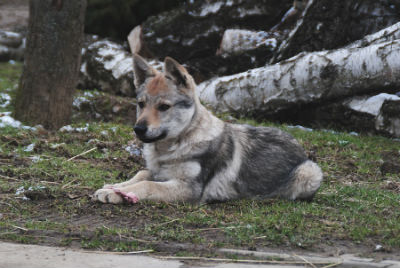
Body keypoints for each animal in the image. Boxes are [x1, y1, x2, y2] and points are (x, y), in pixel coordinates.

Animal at [93, 55, 322, 204]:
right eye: (141, 104)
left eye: (164, 107)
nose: (138, 129)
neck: (173, 146)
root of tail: (299, 146)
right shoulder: (158, 172)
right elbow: (141, 175)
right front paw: (113, 188)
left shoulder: (189, 188)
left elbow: (147, 185)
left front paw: (118, 193)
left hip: (309, 172)